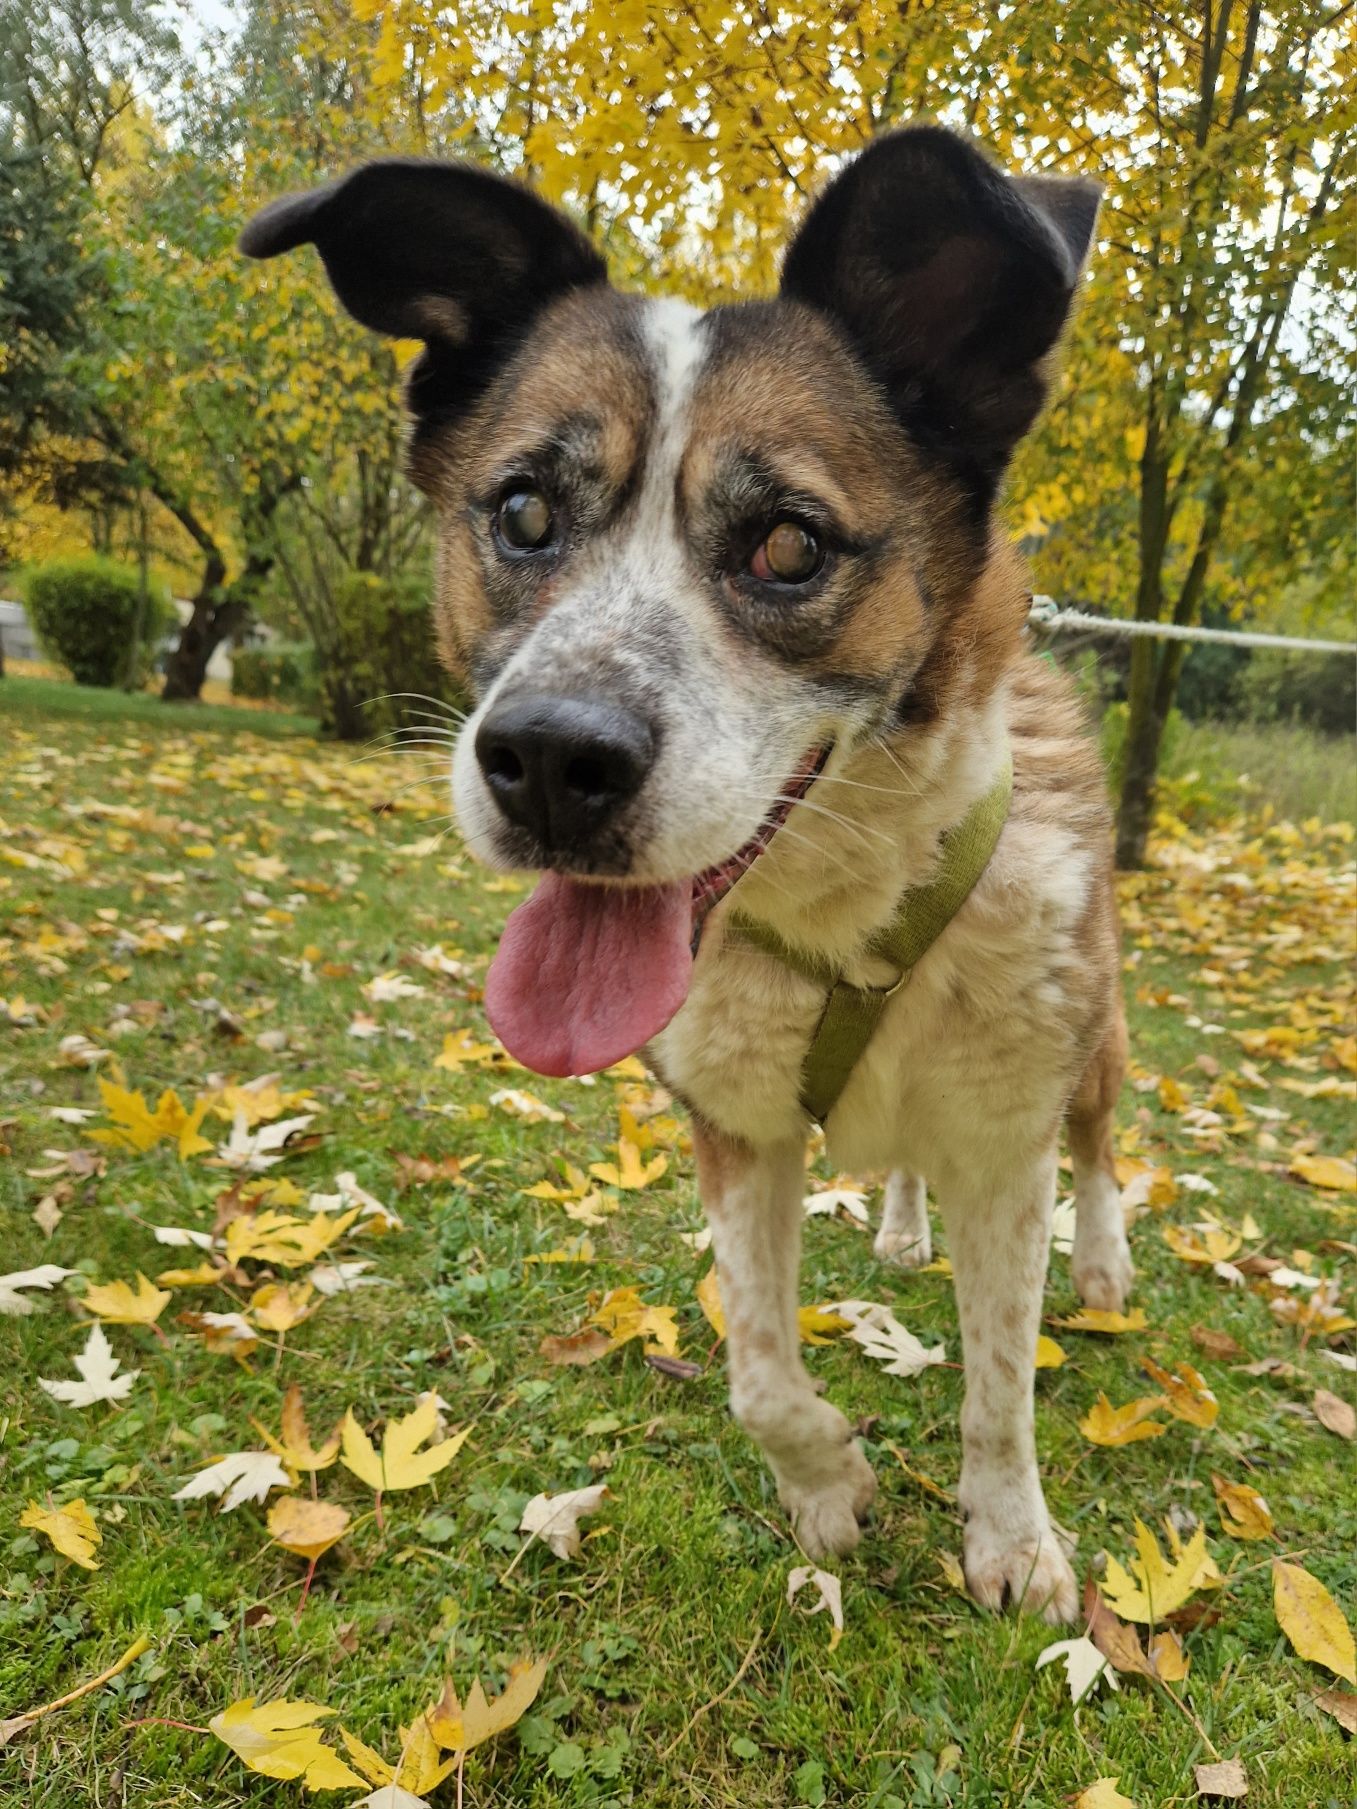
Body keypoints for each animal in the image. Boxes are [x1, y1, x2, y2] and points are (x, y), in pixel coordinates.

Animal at [247, 127, 1136, 1628]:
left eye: (788, 542)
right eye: (523, 510)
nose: (551, 762)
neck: (846, 919)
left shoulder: (1004, 1143)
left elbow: (1000, 1386)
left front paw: (1012, 1538)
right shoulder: (738, 1128)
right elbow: (756, 1369)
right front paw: (829, 1482)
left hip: (1093, 1028)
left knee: (1102, 1140)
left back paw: (1106, 1258)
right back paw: (902, 1233)